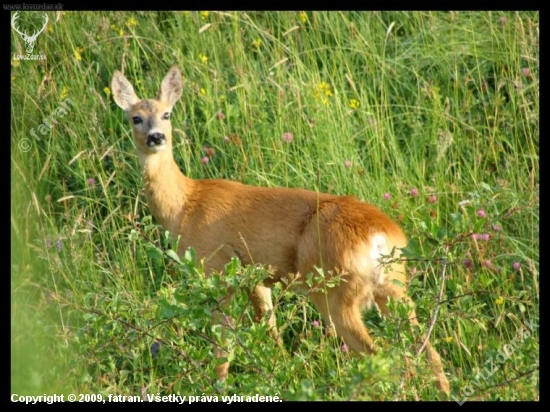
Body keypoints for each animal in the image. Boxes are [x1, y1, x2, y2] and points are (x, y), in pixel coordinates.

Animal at [112, 64, 452, 396]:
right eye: (136, 117)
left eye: (167, 114)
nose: (156, 137)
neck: (185, 204)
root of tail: (381, 237)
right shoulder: (257, 278)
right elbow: (271, 333)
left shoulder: (217, 269)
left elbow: (223, 345)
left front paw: (219, 387)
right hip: (393, 286)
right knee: (428, 353)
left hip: (334, 290)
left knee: (384, 361)